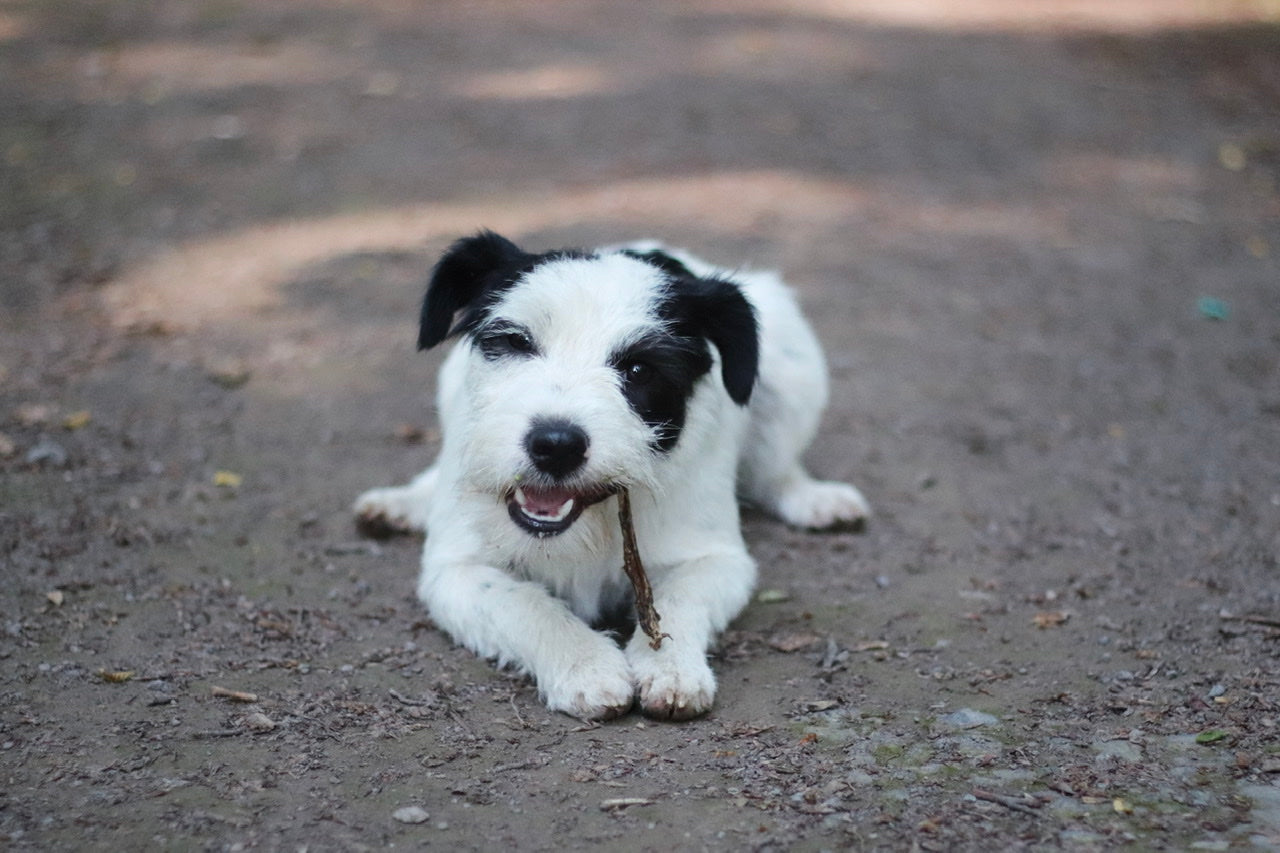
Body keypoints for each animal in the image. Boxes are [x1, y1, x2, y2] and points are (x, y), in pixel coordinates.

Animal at [355, 233, 865, 717]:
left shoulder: (717, 559)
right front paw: (586, 664)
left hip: (793, 365)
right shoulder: (457, 572)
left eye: (639, 368)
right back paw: (404, 502)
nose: (556, 445)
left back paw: (813, 498)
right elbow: (526, 604)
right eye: (516, 342)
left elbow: (679, 598)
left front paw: (671, 667)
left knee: (776, 470)